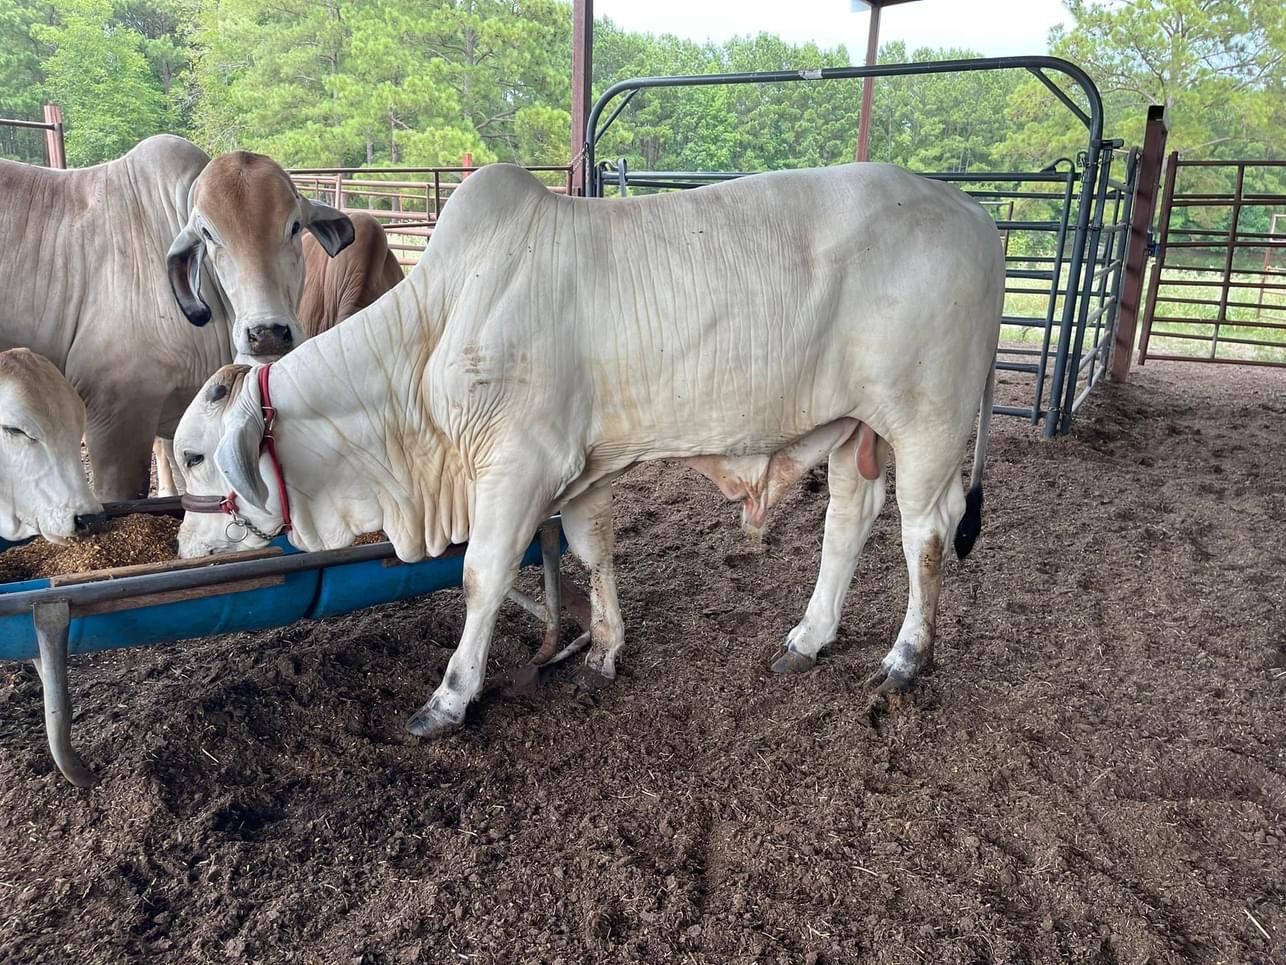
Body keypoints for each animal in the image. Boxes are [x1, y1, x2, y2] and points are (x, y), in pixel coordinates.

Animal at [168, 164, 1003, 741]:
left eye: (193, 456)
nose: (180, 542)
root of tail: (970, 209)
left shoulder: (517, 466)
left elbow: (482, 577)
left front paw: (449, 696)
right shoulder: (582, 470)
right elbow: (594, 551)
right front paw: (603, 651)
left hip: (927, 421)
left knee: (924, 531)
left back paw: (906, 655)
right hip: (858, 428)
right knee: (849, 521)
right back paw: (808, 636)